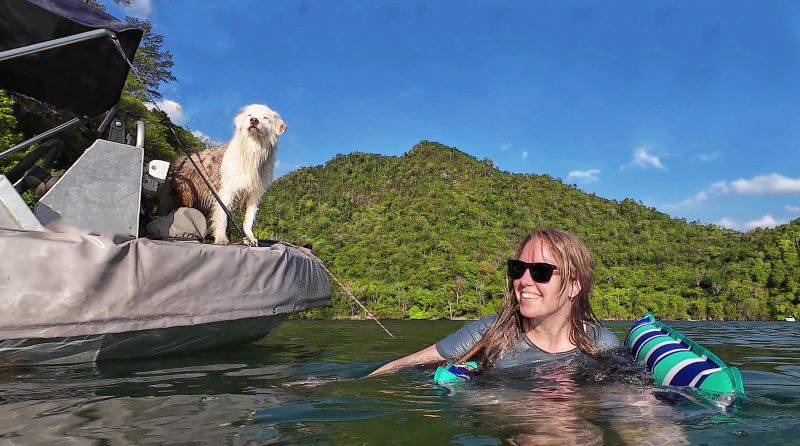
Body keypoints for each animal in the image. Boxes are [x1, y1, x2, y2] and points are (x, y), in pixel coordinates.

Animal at [167, 104, 287, 245]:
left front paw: (249, 238)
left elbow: (249, 219)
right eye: (250, 115)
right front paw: (221, 238)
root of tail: (179, 159)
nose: (254, 120)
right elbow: (223, 216)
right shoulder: (226, 192)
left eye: (265, 117)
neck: (252, 149)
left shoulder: (255, 194)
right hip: (186, 194)